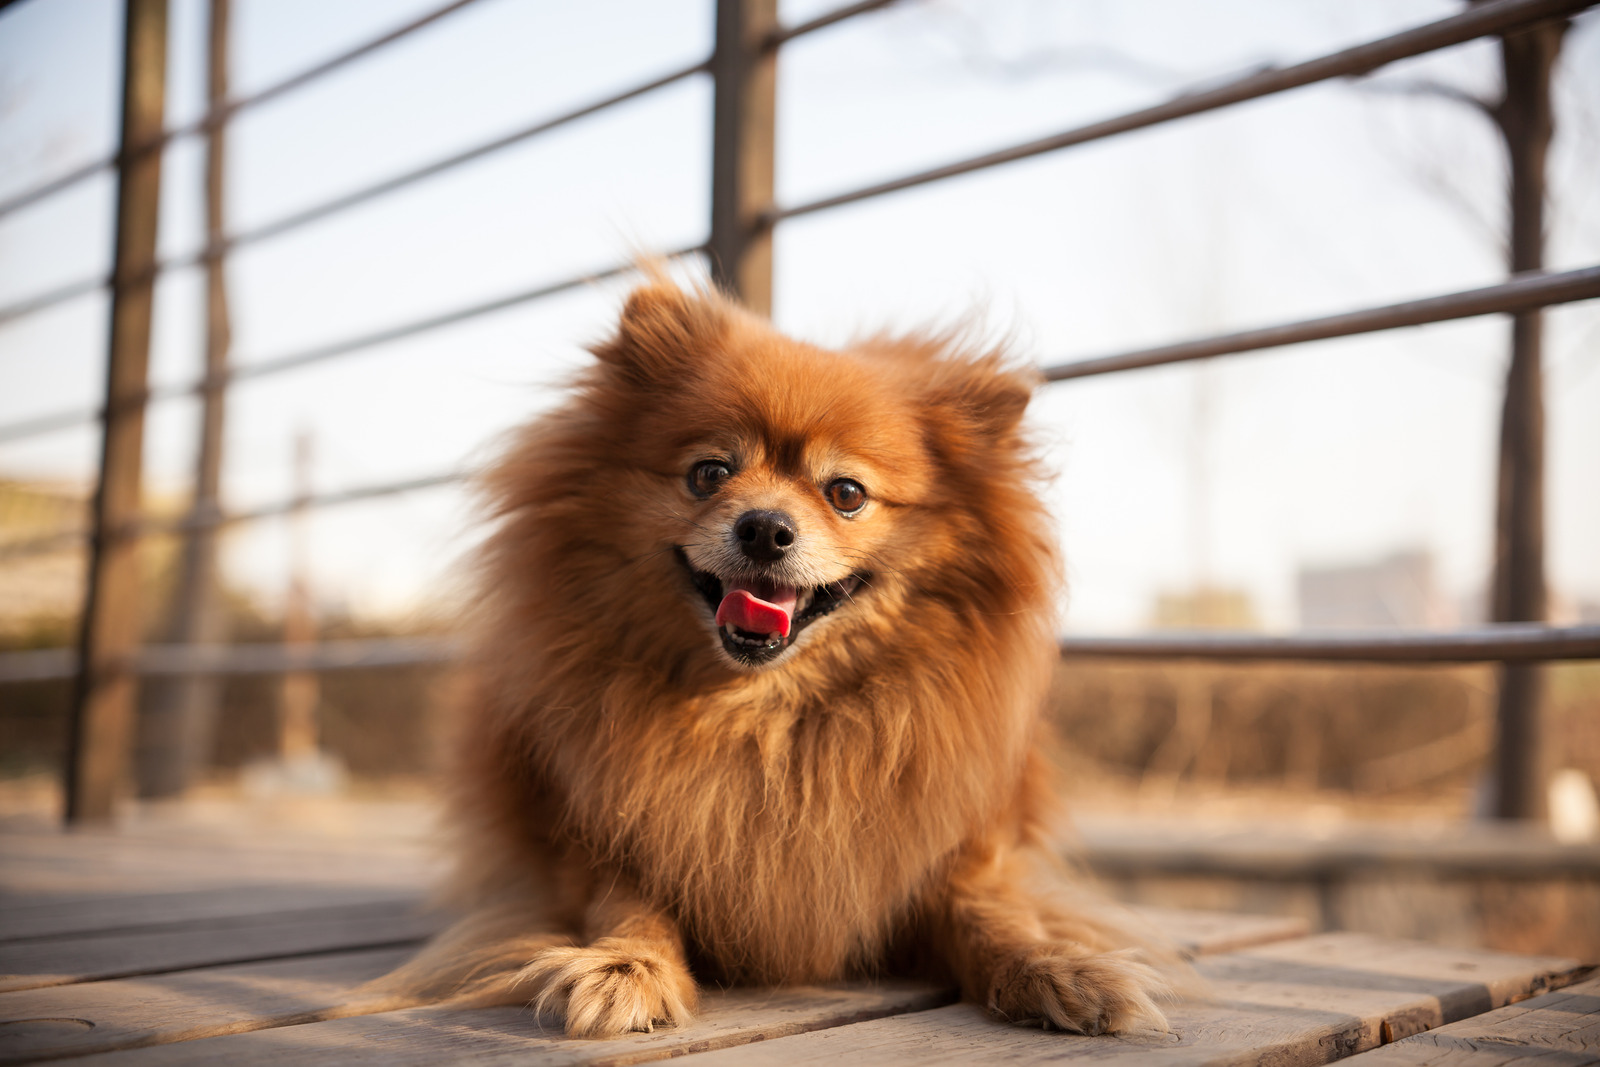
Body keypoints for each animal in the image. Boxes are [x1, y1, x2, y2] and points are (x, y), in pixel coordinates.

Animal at [371, 275, 1177, 1036]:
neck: (760, 714)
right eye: (709, 473)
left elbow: (992, 915)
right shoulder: (594, 843)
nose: (765, 527)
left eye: (846, 492)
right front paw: (622, 968)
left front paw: (1059, 966)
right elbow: (627, 904)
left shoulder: (957, 858)